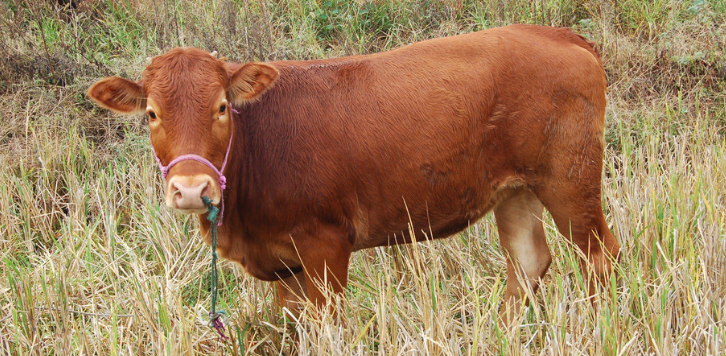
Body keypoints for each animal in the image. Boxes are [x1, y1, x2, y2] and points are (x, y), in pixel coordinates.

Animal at [88, 25, 624, 320]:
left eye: (222, 107)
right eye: (151, 114)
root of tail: (557, 33)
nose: (191, 189)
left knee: (600, 257)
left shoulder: (325, 243)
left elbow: (326, 325)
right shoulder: (284, 261)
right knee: (528, 262)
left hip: (569, 180)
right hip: (516, 189)